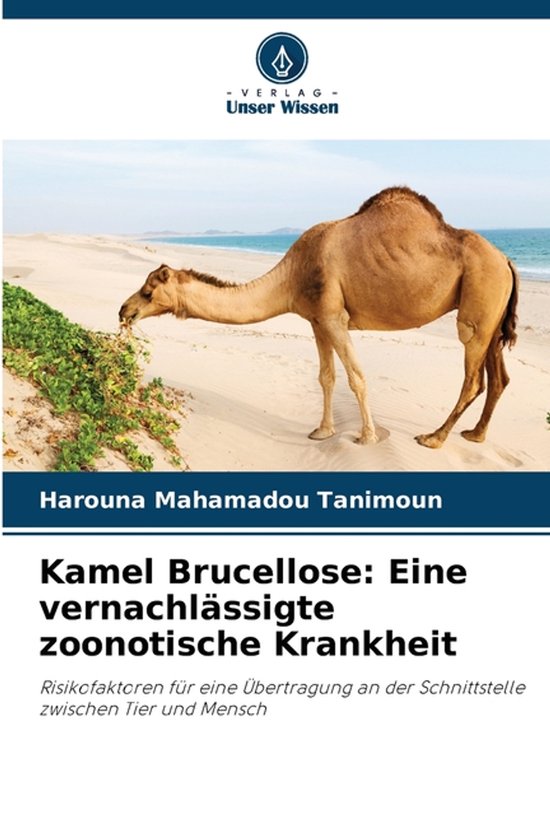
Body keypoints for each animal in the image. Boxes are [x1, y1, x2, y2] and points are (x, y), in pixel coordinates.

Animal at [119, 187, 518, 448]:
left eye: (149, 291)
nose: (124, 310)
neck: (293, 274)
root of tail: (506, 260)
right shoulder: (315, 321)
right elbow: (326, 377)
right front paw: (322, 432)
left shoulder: (333, 316)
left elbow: (356, 377)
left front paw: (367, 436)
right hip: (493, 317)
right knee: (499, 377)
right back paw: (476, 435)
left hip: (477, 307)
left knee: (473, 378)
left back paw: (434, 437)